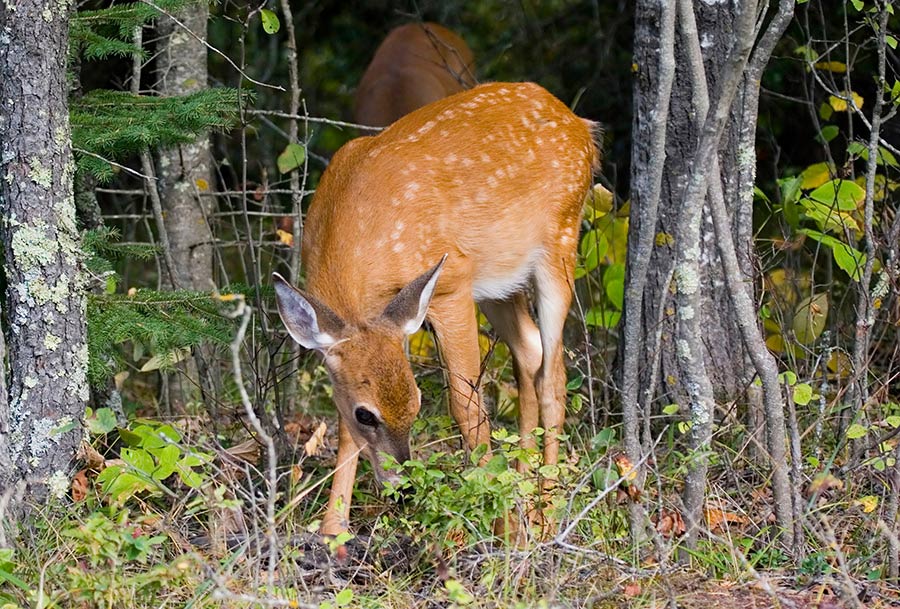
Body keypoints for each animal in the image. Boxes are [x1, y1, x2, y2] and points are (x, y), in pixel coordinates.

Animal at [274, 79, 596, 536]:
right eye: (366, 414)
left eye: (417, 403)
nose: (404, 486)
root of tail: (580, 124)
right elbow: (341, 425)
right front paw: (332, 529)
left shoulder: (450, 284)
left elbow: (468, 409)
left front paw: (496, 527)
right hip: (498, 282)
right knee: (530, 352)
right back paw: (526, 494)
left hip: (560, 242)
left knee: (553, 377)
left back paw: (545, 515)